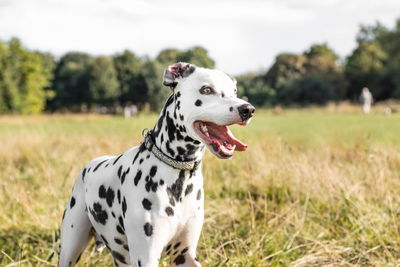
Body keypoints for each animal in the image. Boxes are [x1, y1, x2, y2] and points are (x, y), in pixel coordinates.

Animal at [57, 62, 255, 267]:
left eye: (234, 91)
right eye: (206, 90)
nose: (248, 109)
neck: (179, 176)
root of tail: (89, 165)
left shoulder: (184, 254)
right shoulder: (146, 257)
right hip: (71, 247)